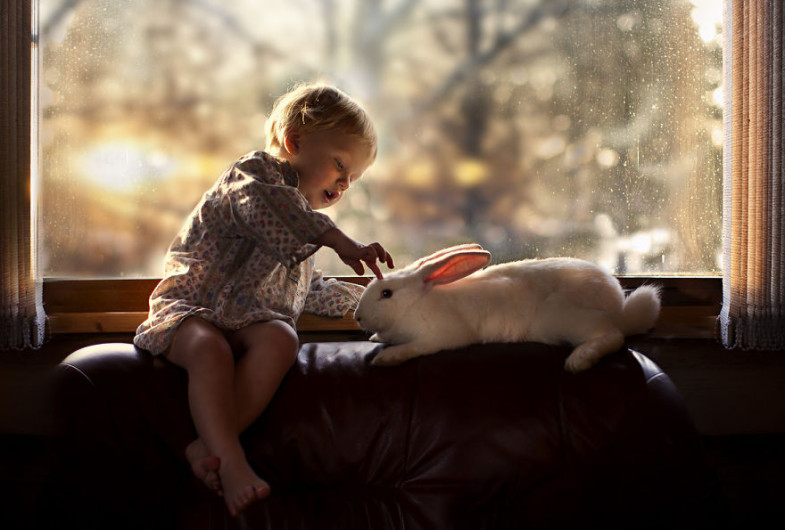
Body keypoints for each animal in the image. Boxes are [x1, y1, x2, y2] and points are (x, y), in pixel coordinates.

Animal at [356, 243, 660, 372]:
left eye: (386, 294)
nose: (358, 317)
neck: (417, 302)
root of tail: (619, 308)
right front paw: (375, 338)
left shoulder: (441, 336)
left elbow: (415, 347)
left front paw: (388, 357)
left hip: (566, 320)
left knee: (611, 336)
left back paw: (579, 360)